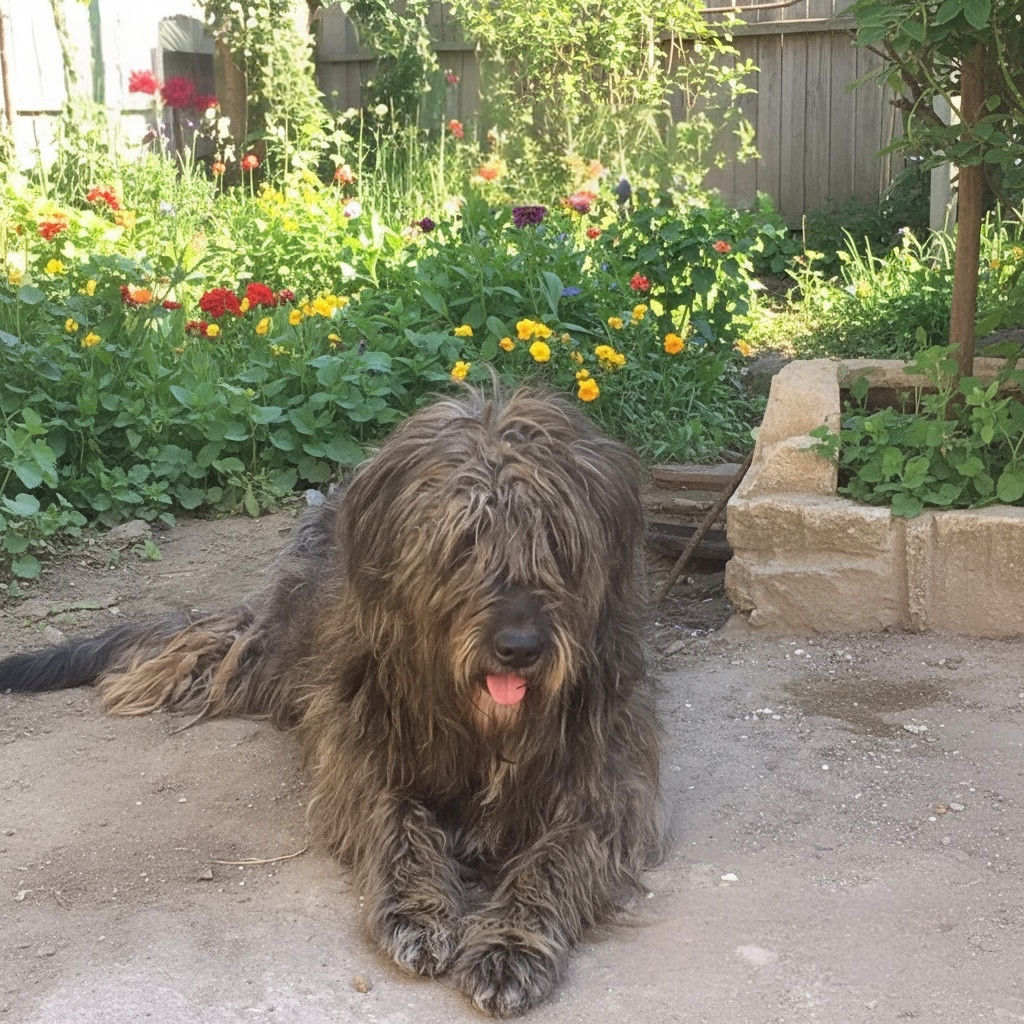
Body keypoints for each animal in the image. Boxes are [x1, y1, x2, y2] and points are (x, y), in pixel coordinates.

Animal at [0, 388, 667, 1016]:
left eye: (554, 540)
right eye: (465, 541)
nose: (520, 648)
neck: (482, 725)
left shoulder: (607, 789)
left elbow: (554, 859)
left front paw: (509, 946)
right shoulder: (360, 754)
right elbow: (396, 820)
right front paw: (416, 911)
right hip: (280, 651)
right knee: (219, 644)